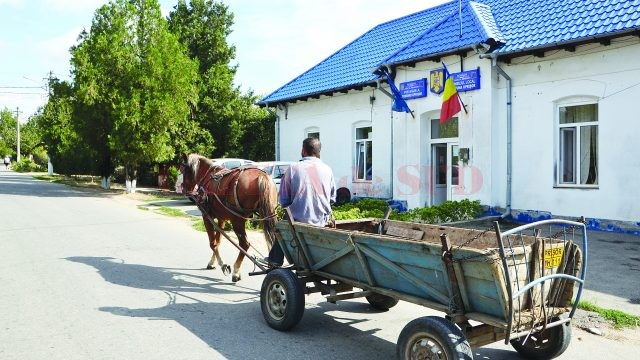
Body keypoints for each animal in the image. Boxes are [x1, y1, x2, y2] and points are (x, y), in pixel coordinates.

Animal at [180, 153, 280, 282]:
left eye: (184, 170)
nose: (183, 188)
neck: (208, 177)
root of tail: (262, 176)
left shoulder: (207, 216)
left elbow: (212, 243)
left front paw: (223, 265)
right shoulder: (221, 219)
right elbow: (218, 241)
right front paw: (212, 262)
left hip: (237, 221)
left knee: (244, 244)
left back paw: (236, 271)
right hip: (267, 215)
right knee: (272, 240)